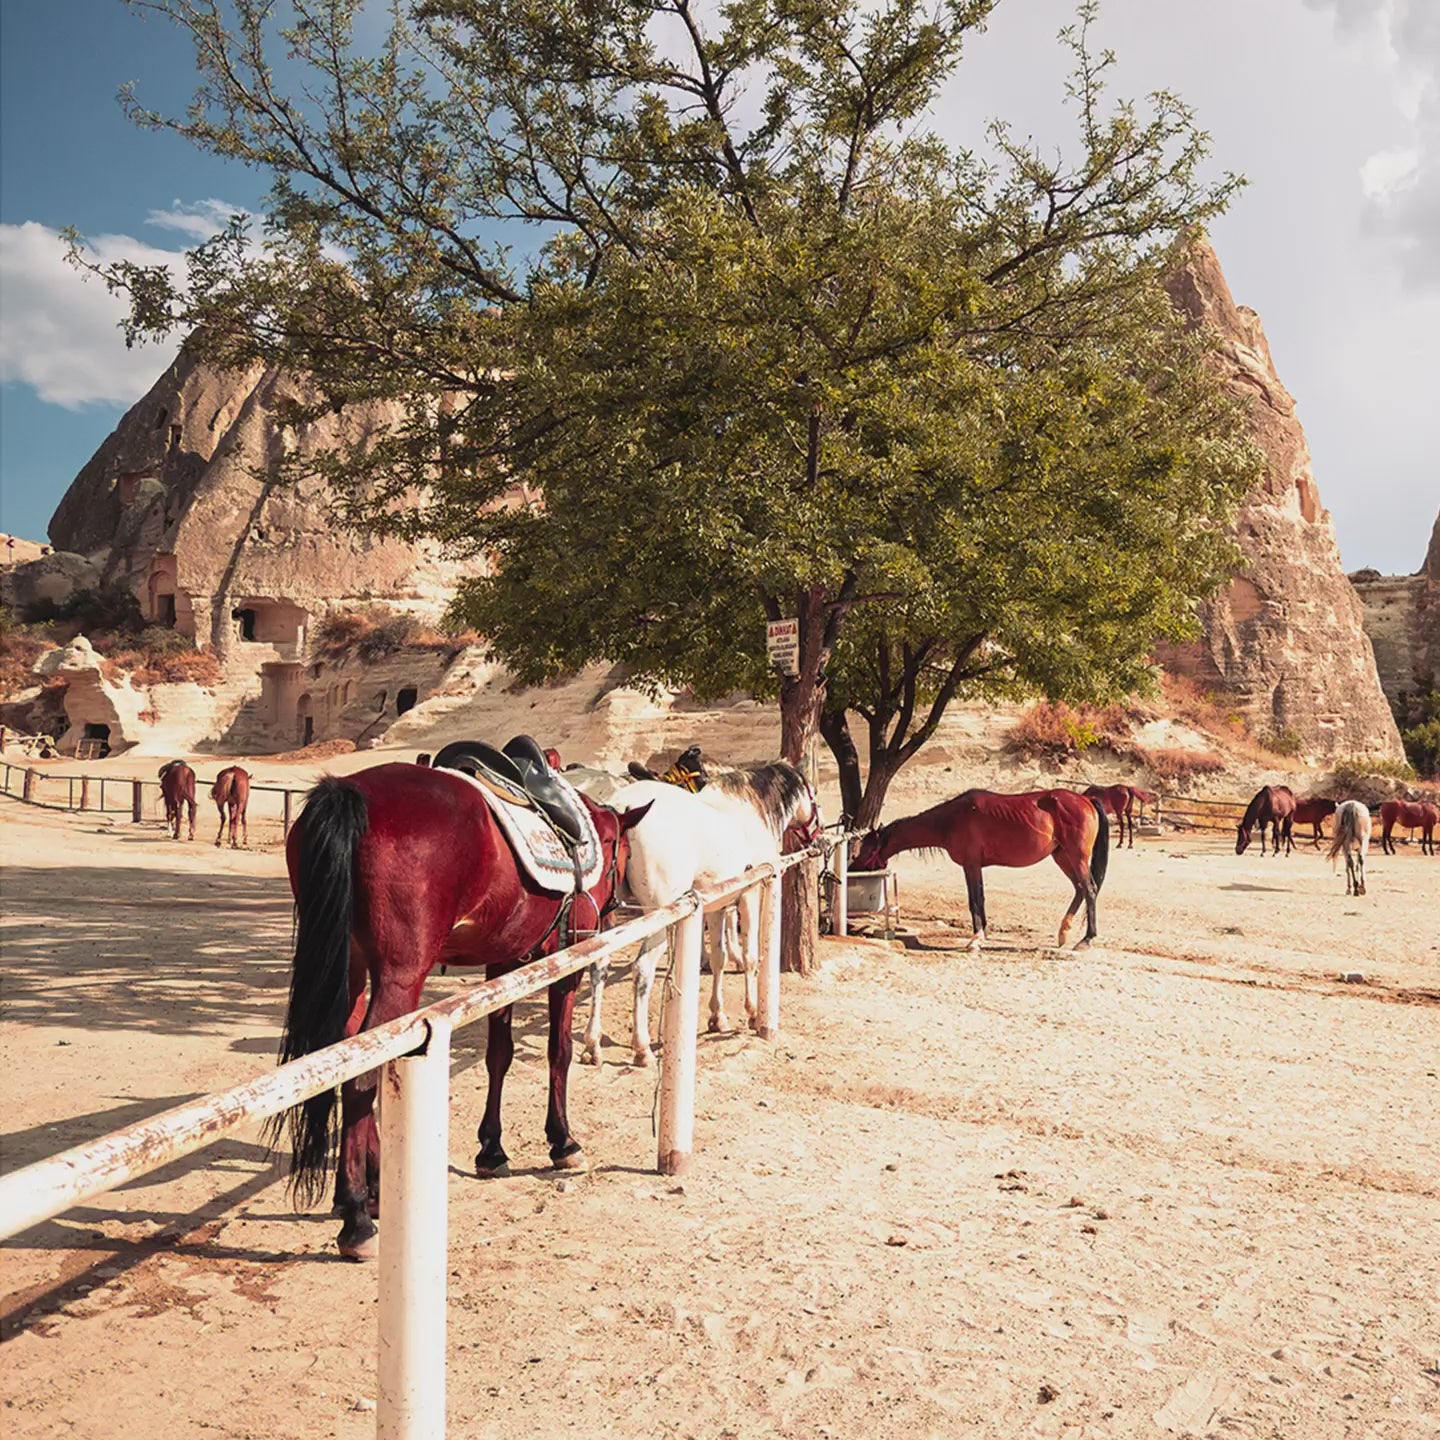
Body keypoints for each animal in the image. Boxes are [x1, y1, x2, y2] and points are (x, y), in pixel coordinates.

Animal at [266, 759, 652, 1259]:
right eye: (621, 853)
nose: (610, 910)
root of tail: (348, 790)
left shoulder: (503, 963)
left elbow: (499, 1055)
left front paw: (492, 1149)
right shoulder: (563, 963)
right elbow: (559, 1052)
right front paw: (563, 1141)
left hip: (349, 969)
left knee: (348, 1058)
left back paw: (373, 1190)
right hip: (399, 977)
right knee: (361, 1078)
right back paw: (356, 1215)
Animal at [581, 761, 821, 1068]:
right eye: (813, 793)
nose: (818, 834)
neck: (749, 812)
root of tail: (624, 811)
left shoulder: (717, 907)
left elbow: (719, 958)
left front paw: (718, 1017)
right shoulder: (750, 894)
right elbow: (750, 956)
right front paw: (753, 1012)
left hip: (608, 921)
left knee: (598, 966)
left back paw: (592, 1045)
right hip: (657, 920)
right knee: (642, 970)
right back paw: (642, 1048)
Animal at [854, 789, 1109, 950]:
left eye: (865, 850)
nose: (853, 869)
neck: (951, 819)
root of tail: (1087, 799)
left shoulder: (971, 865)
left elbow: (974, 900)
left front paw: (975, 939)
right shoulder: (976, 866)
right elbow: (981, 898)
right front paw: (983, 934)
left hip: (1076, 856)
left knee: (1090, 890)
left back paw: (1086, 940)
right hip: (1062, 856)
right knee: (1080, 889)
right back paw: (1063, 933)